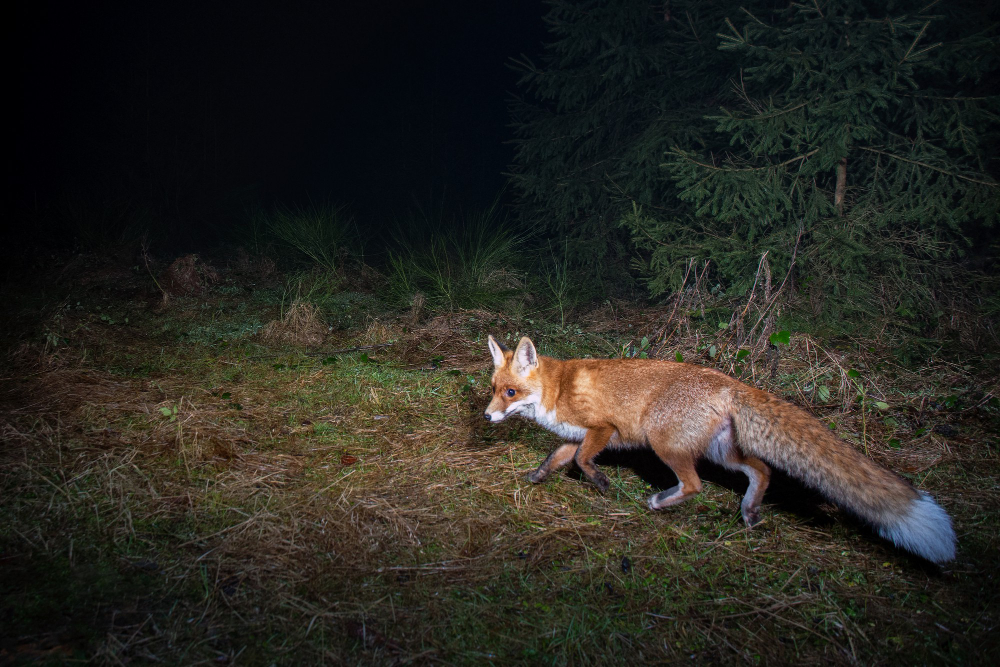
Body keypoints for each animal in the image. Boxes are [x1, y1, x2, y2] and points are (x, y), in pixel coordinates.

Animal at [486, 334, 960, 564]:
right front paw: (538, 476)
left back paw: (661, 502)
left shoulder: (603, 428)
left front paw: (601, 482)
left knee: (695, 485)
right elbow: (557, 458)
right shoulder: (574, 435)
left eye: (511, 392)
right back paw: (749, 511)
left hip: (666, 445)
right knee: (762, 471)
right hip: (722, 453)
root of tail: (731, 382)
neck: (557, 390)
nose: (488, 417)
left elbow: (585, 461)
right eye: (492, 390)